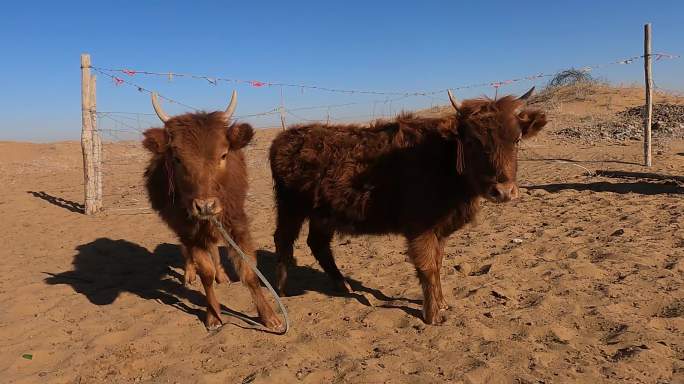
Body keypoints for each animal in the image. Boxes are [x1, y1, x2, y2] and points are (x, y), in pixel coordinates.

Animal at [142, 91, 280, 330]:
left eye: (223, 155)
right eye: (177, 159)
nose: (205, 206)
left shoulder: (236, 223)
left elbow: (249, 270)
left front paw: (268, 316)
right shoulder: (189, 229)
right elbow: (205, 273)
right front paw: (213, 315)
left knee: (214, 246)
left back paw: (222, 275)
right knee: (187, 250)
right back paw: (189, 273)